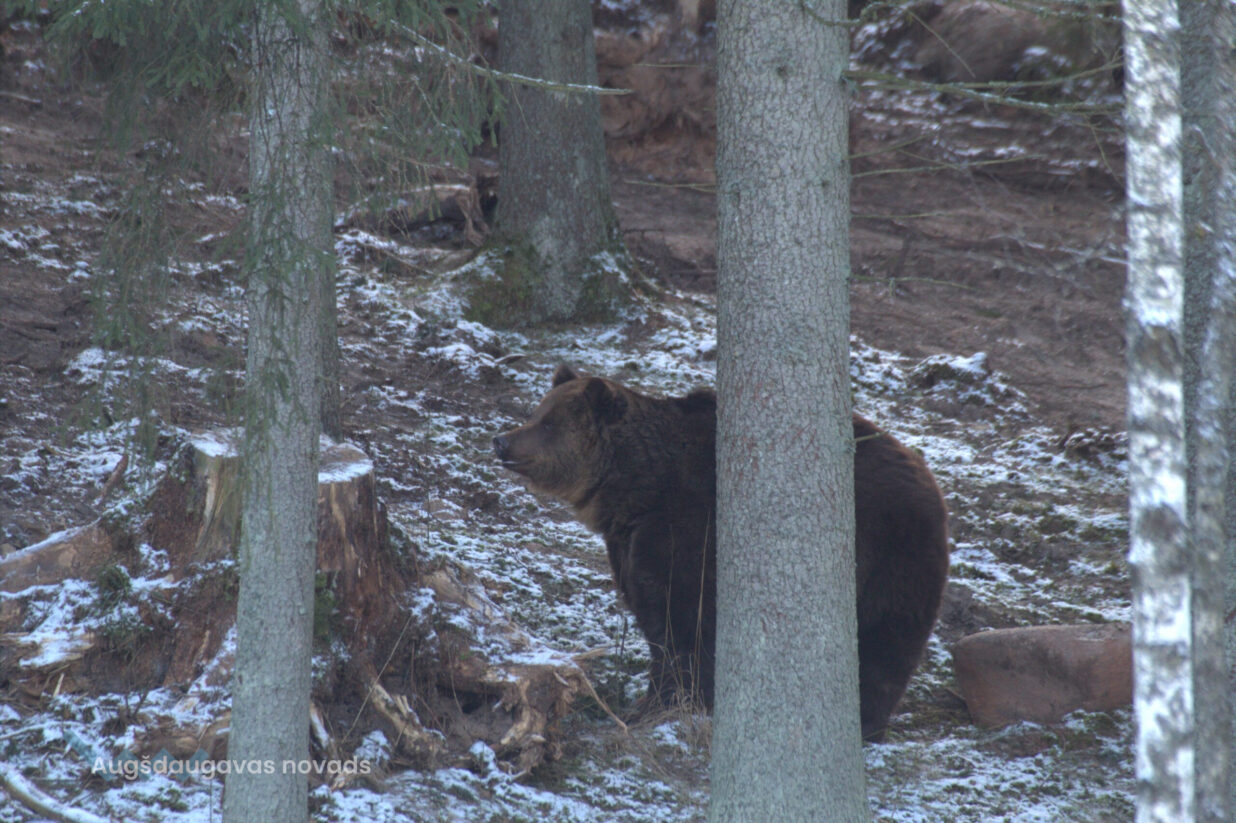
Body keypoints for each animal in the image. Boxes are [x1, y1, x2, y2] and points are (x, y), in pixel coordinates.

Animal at [493, 364, 949, 740]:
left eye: (549, 423)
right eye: (537, 412)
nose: (502, 441)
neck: (636, 488)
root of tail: (932, 485)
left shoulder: (687, 528)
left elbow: (680, 623)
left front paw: (662, 703)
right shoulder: (628, 543)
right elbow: (651, 612)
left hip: (891, 555)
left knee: (885, 642)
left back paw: (864, 721)